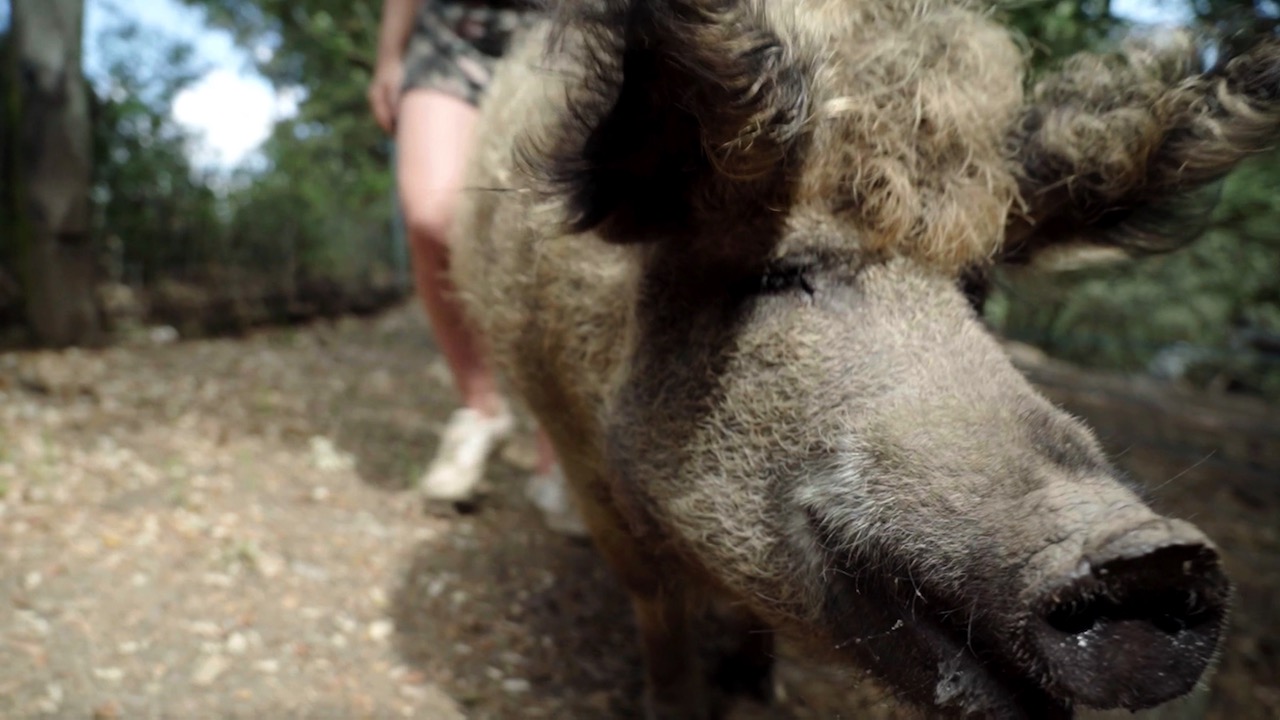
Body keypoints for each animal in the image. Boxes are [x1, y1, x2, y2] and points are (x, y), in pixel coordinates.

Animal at [448, 0, 1280, 717]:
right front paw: (680, 704)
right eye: (781, 274)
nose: (1154, 553)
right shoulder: (589, 461)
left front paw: (759, 693)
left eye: (974, 290)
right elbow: (658, 612)